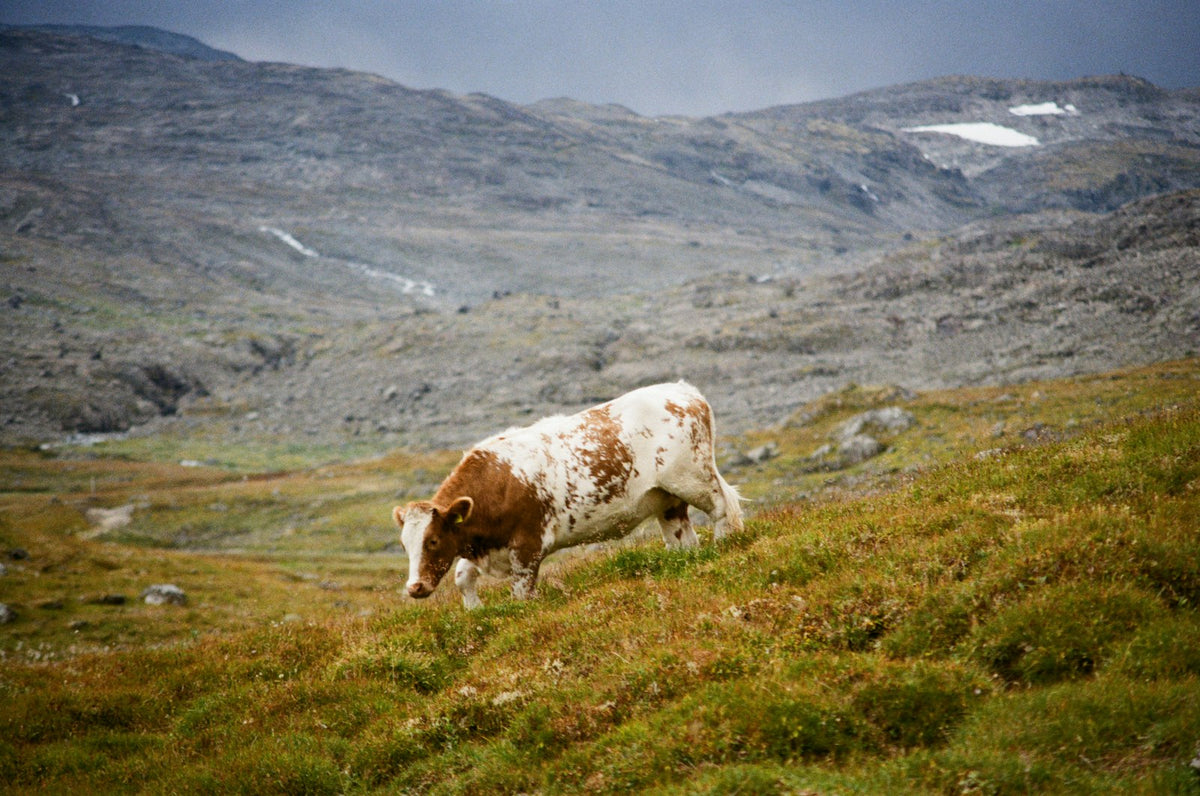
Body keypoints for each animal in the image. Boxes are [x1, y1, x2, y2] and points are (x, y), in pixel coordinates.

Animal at [393, 381, 743, 609]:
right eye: (405, 544)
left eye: (432, 540)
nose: (415, 587)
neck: (496, 481)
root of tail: (684, 390)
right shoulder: (480, 544)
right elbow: (463, 578)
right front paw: (474, 611)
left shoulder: (527, 547)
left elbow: (521, 595)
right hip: (666, 499)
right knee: (682, 539)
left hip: (692, 476)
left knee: (721, 508)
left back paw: (723, 544)